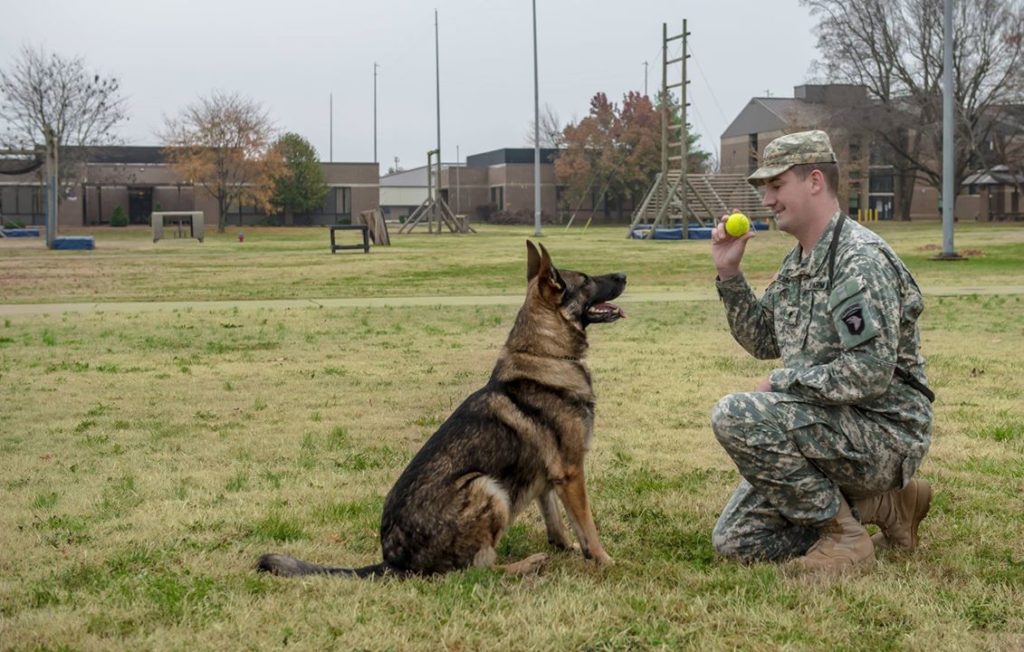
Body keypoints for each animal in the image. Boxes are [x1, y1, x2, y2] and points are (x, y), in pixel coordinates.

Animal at [256, 240, 622, 573]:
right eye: (586, 280)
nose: (623, 274)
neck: (546, 355)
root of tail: (393, 561)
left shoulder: (548, 475)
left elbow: (555, 519)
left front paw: (567, 547)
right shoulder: (571, 472)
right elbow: (586, 524)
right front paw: (604, 559)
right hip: (485, 486)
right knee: (476, 570)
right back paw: (527, 564)